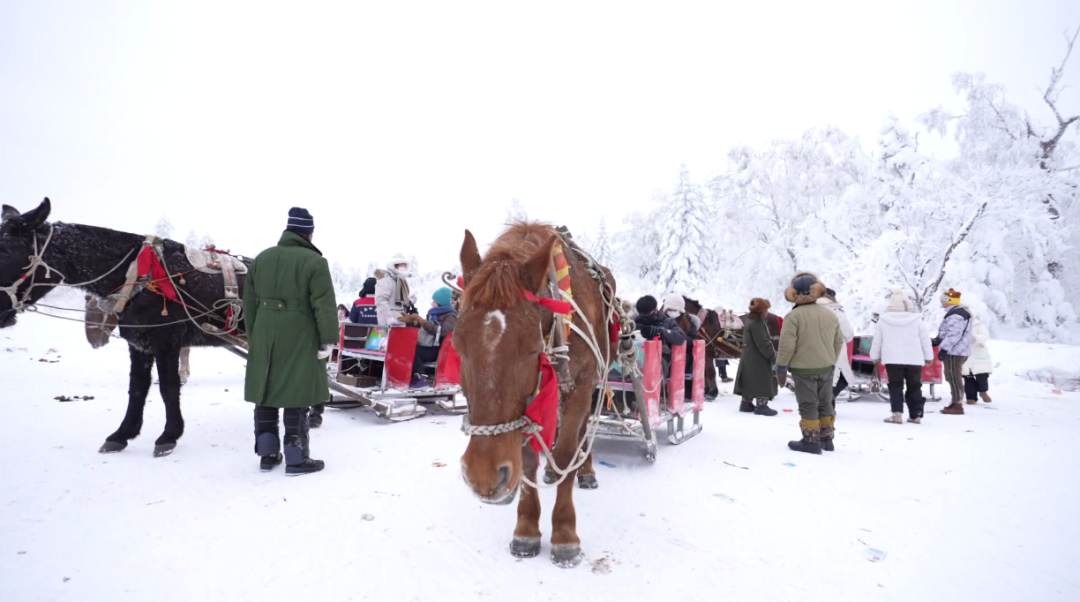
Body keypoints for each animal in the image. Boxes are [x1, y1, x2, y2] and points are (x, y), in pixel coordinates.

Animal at [0, 198, 245, 457]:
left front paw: (169, 435)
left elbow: (168, 387)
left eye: (5, 250)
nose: (94, 341)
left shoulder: (166, 341)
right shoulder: (139, 343)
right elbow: (137, 388)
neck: (139, 276)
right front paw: (122, 434)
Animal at [454, 223, 614, 568]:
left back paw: (584, 470)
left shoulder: (580, 385)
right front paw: (526, 528)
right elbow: (527, 459)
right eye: (457, 346)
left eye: (530, 347)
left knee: (582, 430)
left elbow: (567, 450)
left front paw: (565, 533)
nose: (483, 475)